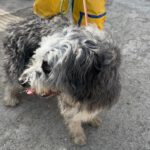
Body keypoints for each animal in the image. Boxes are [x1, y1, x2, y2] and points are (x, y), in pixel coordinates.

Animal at [2, 14, 121, 145]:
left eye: (46, 67)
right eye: (36, 58)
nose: (22, 81)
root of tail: (17, 23)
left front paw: (92, 118)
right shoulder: (68, 102)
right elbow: (74, 119)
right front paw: (78, 135)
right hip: (16, 64)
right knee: (9, 82)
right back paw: (10, 98)